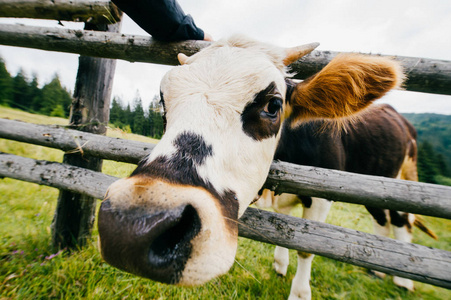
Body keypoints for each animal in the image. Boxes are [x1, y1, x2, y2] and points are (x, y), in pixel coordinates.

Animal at [258, 102, 438, 298]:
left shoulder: (320, 196)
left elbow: (305, 247)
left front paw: (299, 294)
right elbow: (283, 229)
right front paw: (280, 265)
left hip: (399, 183)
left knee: (401, 221)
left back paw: (403, 282)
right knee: (382, 220)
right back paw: (377, 271)